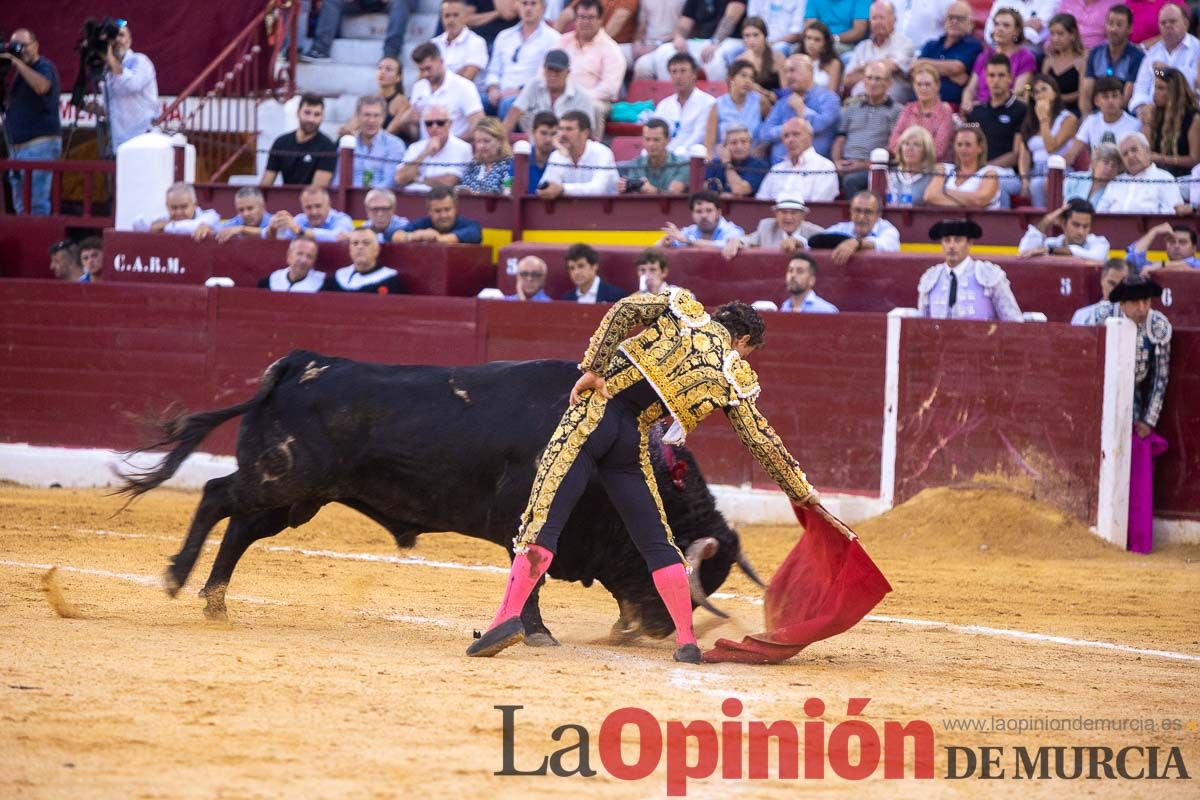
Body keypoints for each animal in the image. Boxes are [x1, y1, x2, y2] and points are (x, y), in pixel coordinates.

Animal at [119, 350, 758, 642]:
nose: (659, 628)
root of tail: (297, 364)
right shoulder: (527, 516)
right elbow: (533, 568)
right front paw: (535, 632)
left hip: (294, 496)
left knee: (241, 526)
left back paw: (215, 601)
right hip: (284, 478)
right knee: (216, 496)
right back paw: (178, 577)